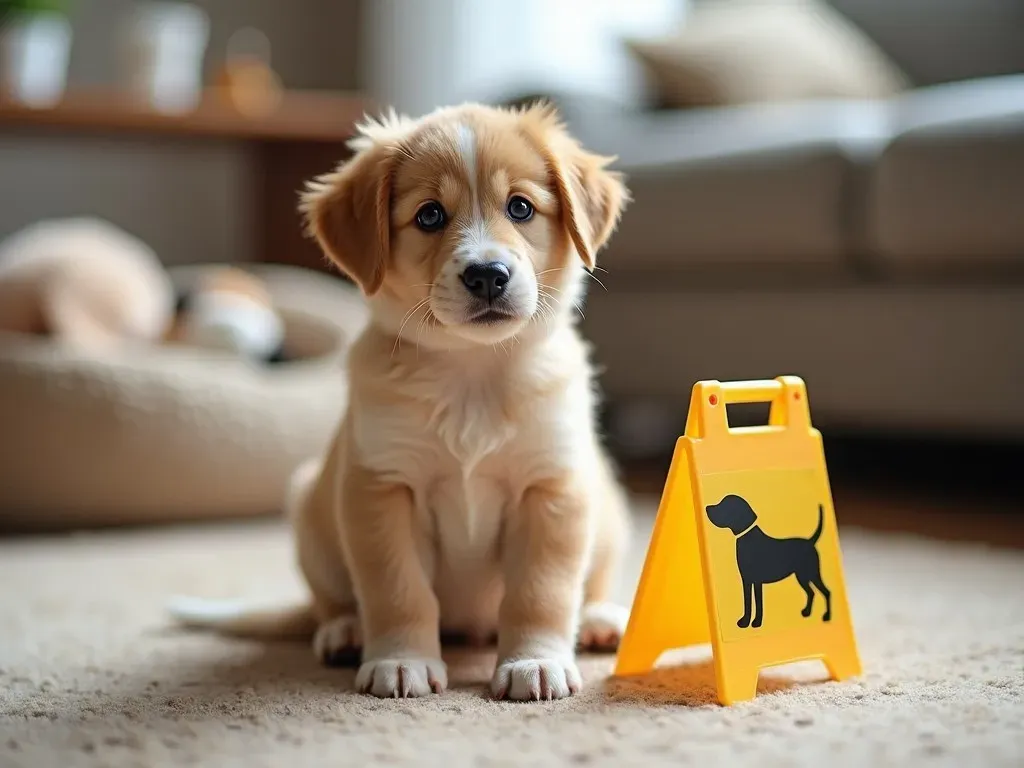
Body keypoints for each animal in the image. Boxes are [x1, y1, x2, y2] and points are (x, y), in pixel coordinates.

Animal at [167, 102, 630, 704]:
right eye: (430, 215)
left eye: (521, 207)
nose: (488, 275)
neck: (470, 375)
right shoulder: (380, 488)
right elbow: (397, 589)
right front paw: (401, 661)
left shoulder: (553, 486)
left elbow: (541, 591)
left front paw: (535, 661)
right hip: (311, 509)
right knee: (329, 603)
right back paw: (345, 632)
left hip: (610, 512)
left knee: (589, 586)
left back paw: (600, 620)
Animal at [704, 499, 831, 630]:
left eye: (725, 505)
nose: (707, 508)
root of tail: (810, 542)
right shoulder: (746, 580)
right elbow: (747, 602)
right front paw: (744, 622)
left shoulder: (757, 581)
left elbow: (759, 603)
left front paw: (756, 622)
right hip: (802, 576)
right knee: (811, 592)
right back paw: (807, 612)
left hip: (812, 573)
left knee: (826, 591)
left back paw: (826, 616)